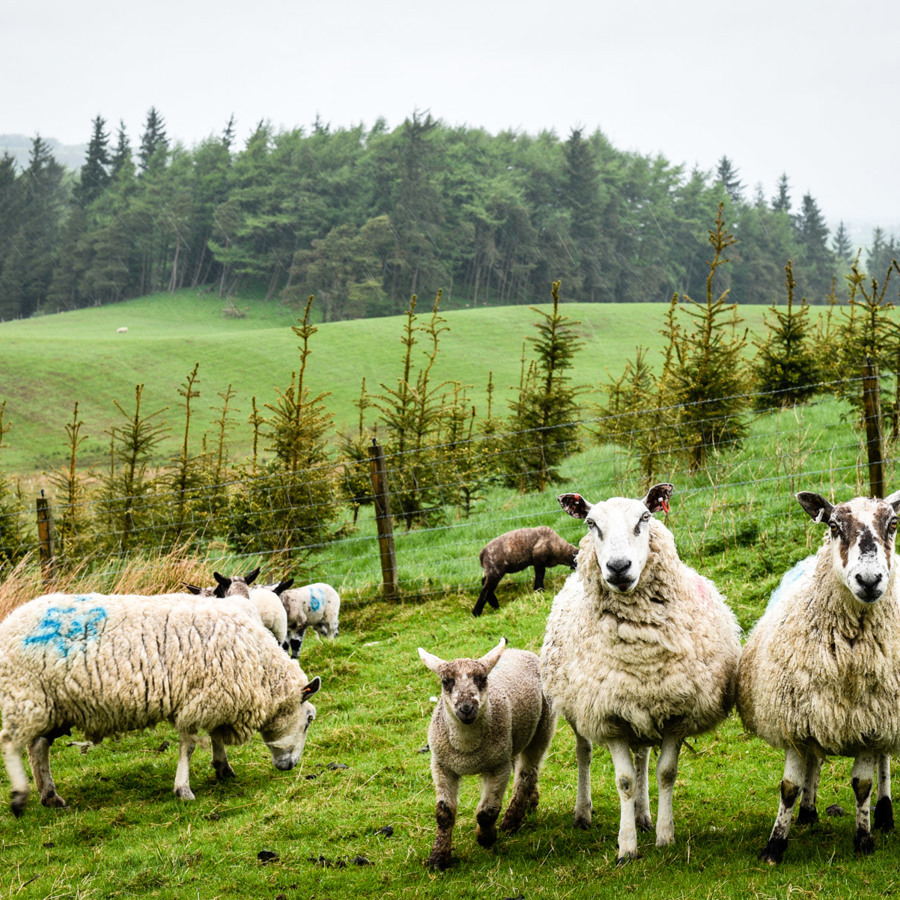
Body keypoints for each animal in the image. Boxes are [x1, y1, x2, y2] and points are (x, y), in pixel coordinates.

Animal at [0, 591, 321, 816]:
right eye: (309, 719)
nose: (290, 766)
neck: (260, 667)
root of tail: (10, 621)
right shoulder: (199, 699)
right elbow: (189, 746)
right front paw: (184, 789)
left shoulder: (216, 695)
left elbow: (215, 735)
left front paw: (222, 767)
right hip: (26, 695)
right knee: (11, 744)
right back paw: (20, 796)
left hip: (51, 706)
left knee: (38, 747)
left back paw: (49, 796)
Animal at [417, 638, 555, 870]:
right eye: (446, 681)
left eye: (482, 679)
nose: (466, 708)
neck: (466, 750)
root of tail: (519, 651)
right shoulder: (442, 765)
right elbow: (444, 813)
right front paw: (438, 858)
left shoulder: (497, 767)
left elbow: (487, 811)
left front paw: (486, 838)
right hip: (512, 741)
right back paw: (531, 802)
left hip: (542, 727)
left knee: (527, 773)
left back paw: (512, 820)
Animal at [540, 483, 741, 863]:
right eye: (591, 524)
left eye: (644, 518)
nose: (619, 567)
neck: (641, 651)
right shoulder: (610, 716)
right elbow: (624, 781)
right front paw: (626, 847)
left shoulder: (676, 711)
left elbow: (665, 773)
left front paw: (664, 835)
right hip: (579, 709)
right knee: (584, 753)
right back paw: (583, 812)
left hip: (644, 707)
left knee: (643, 758)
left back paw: (643, 814)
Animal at [737, 489, 900, 863]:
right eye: (834, 526)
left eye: (893, 524)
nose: (869, 581)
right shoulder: (796, 719)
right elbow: (789, 787)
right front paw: (775, 846)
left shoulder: (871, 722)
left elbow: (863, 785)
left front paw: (864, 839)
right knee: (816, 759)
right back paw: (808, 812)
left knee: (884, 761)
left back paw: (884, 815)